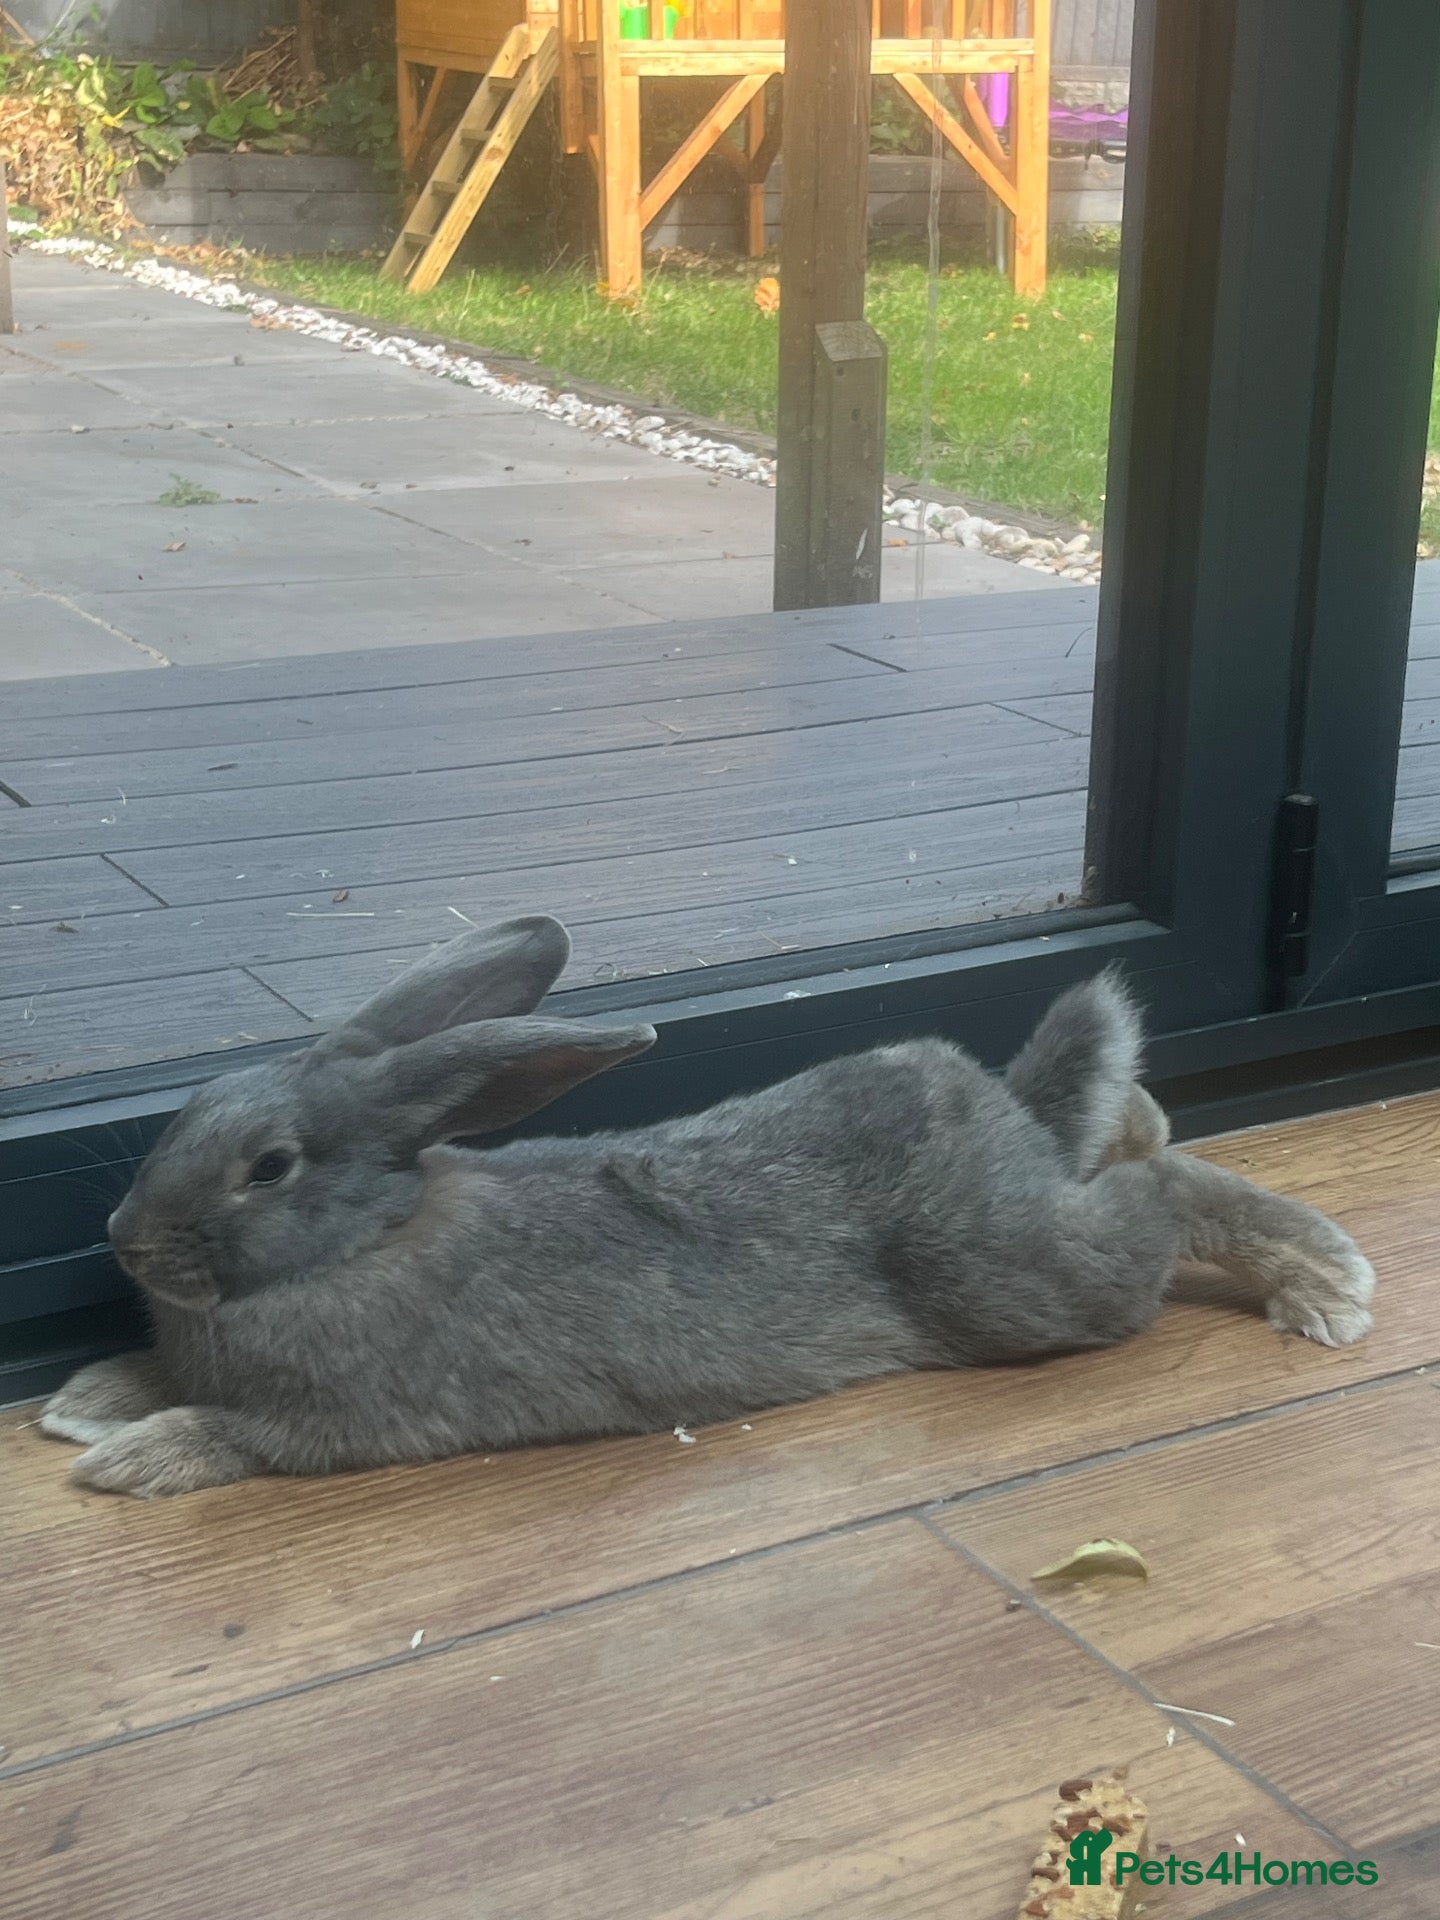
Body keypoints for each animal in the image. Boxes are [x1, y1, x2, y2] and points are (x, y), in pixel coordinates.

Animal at [39, 914, 1375, 1499]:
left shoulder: (341, 1423)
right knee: (1134, 1139)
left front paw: (127, 1456)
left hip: (1020, 1283)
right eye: (189, 1109)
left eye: (268, 1166)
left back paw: (1325, 1280)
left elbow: (238, 1436)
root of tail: (995, 1112)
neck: (362, 1243)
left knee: (1158, 1193)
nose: (122, 1242)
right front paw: (87, 1398)